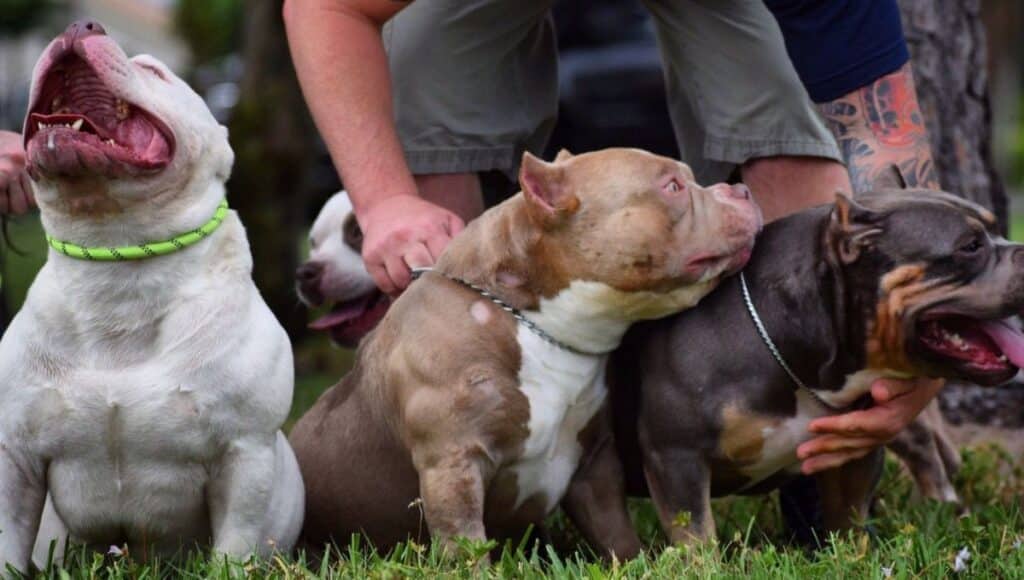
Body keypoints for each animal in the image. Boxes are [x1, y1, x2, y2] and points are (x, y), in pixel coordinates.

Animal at [0, 21, 303, 573]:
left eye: (154, 71)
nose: (80, 25)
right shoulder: (15, 457)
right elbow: (7, 544)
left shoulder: (244, 455)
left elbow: (234, 545)